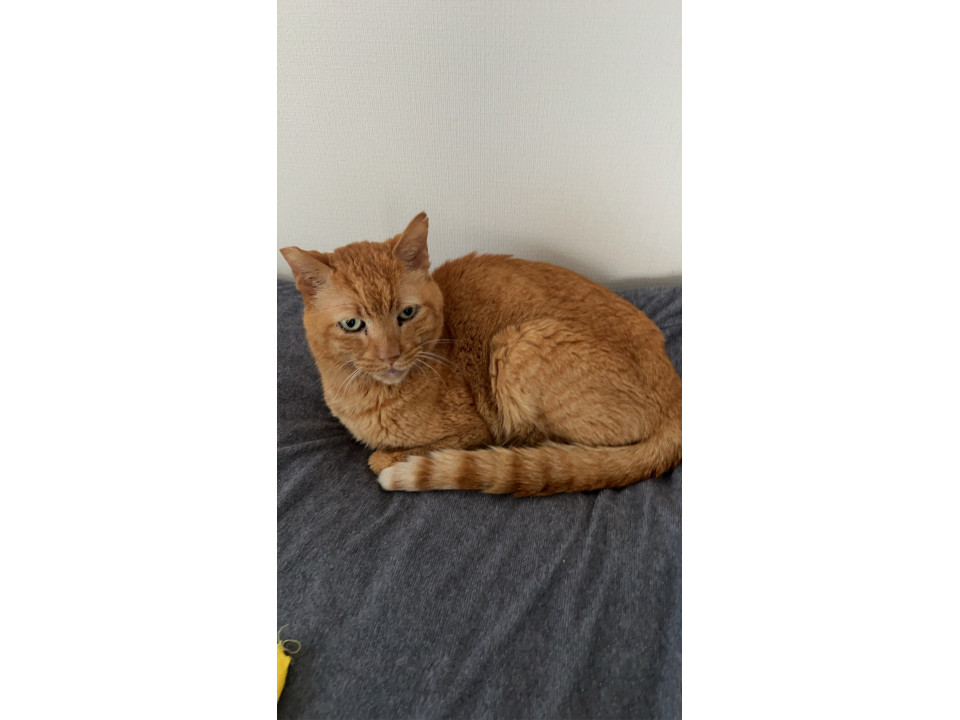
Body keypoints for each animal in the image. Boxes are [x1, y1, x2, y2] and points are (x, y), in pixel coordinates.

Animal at [280, 212, 681, 496]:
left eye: (406, 313)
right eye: (352, 324)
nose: (391, 356)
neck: (362, 396)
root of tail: (675, 394)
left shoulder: (470, 431)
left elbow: (387, 456)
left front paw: (389, 456)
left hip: (517, 344)